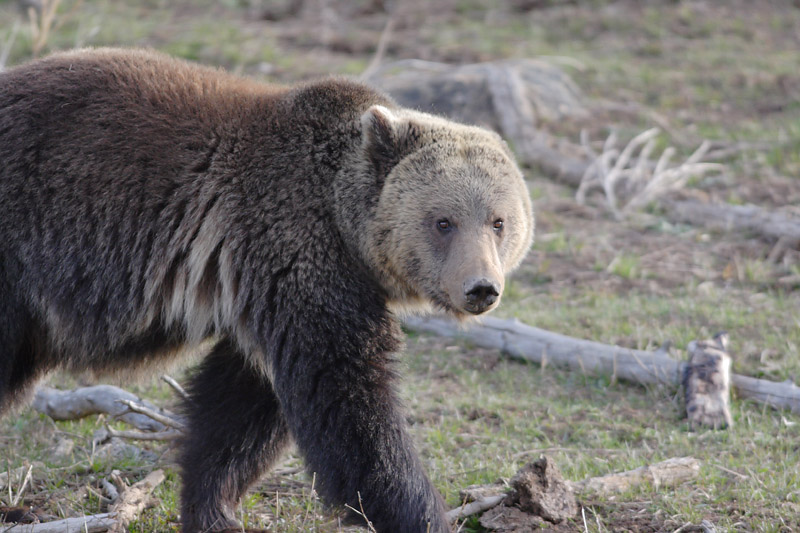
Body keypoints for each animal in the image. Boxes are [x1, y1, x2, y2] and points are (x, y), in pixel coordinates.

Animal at [1, 47, 536, 528]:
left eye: (498, 221)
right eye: (443, 221)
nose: (481, 288)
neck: (344, 221)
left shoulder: (263, 288)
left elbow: (240, 413)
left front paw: (213, 509)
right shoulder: (295, 253)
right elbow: (349, 408)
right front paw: (415, 510)